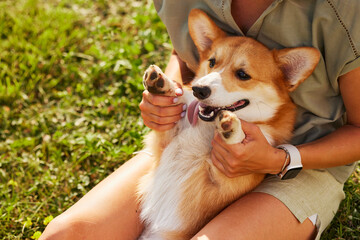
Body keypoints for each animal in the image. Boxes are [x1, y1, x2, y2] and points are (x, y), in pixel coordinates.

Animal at [136, 8, 320, 239]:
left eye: (242, 74)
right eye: (212, 62)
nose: (199, 90)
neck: (205, 129)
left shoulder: (224, 181)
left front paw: (232, 128)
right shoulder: (166, 141)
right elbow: (175, 106)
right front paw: (161, 84)